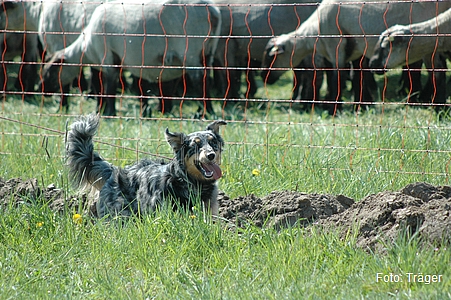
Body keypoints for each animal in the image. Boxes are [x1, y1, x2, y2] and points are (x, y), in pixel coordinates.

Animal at [40, 0, 221, 116]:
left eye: (50, 72)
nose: (43, 91)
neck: (87, 49)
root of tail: (212, 11)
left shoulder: (108, 57)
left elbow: (108, 87)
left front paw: (109, 113)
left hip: (190, 51)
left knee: (199, 79)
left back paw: (205, 112)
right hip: (208, 51)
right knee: (206, 79)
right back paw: (205, 111)